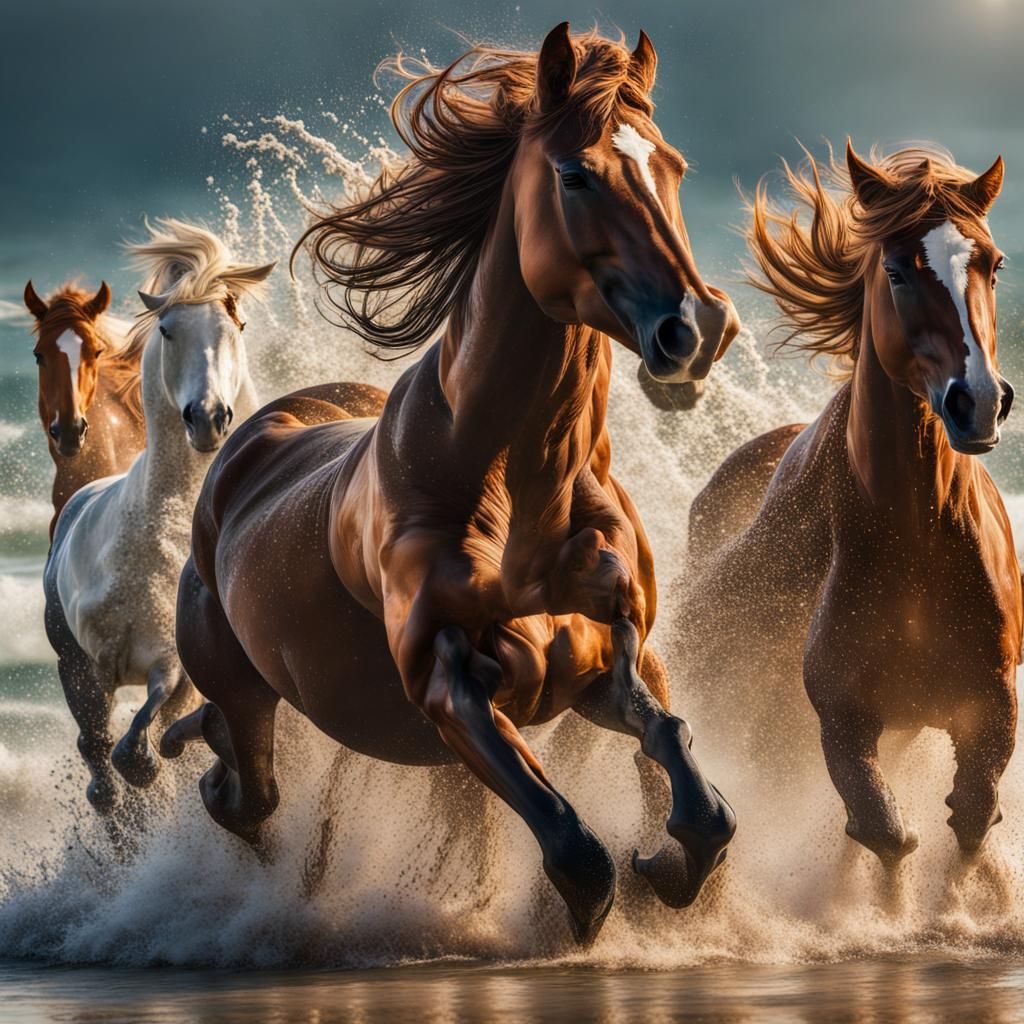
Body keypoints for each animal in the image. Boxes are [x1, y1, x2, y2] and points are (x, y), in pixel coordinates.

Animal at [43, 219, 275, 812]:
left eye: (237, 325)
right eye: (168, 330)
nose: (209, 417)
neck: (152, 537)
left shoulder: (169, 664)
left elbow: (137, 749)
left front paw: (153, 771)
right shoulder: (85, 667)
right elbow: (101, 756)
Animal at [163, 25, 741, 942]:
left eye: (672, 166)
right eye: (575, 175)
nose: (697, 326)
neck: (518, 495)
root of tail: (250, 446)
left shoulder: (614, 659)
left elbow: (692, 783)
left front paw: (668, 867)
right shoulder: (451, 685)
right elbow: (577, 853)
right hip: (245, 689)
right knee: (245, 790)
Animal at [686, 142, 1020, 867]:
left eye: (993, 263)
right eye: (896, 270)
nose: (979, 402)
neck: (918, 541)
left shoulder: (991, 706)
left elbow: (973, 815)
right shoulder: (842, 716)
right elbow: (885, 830)